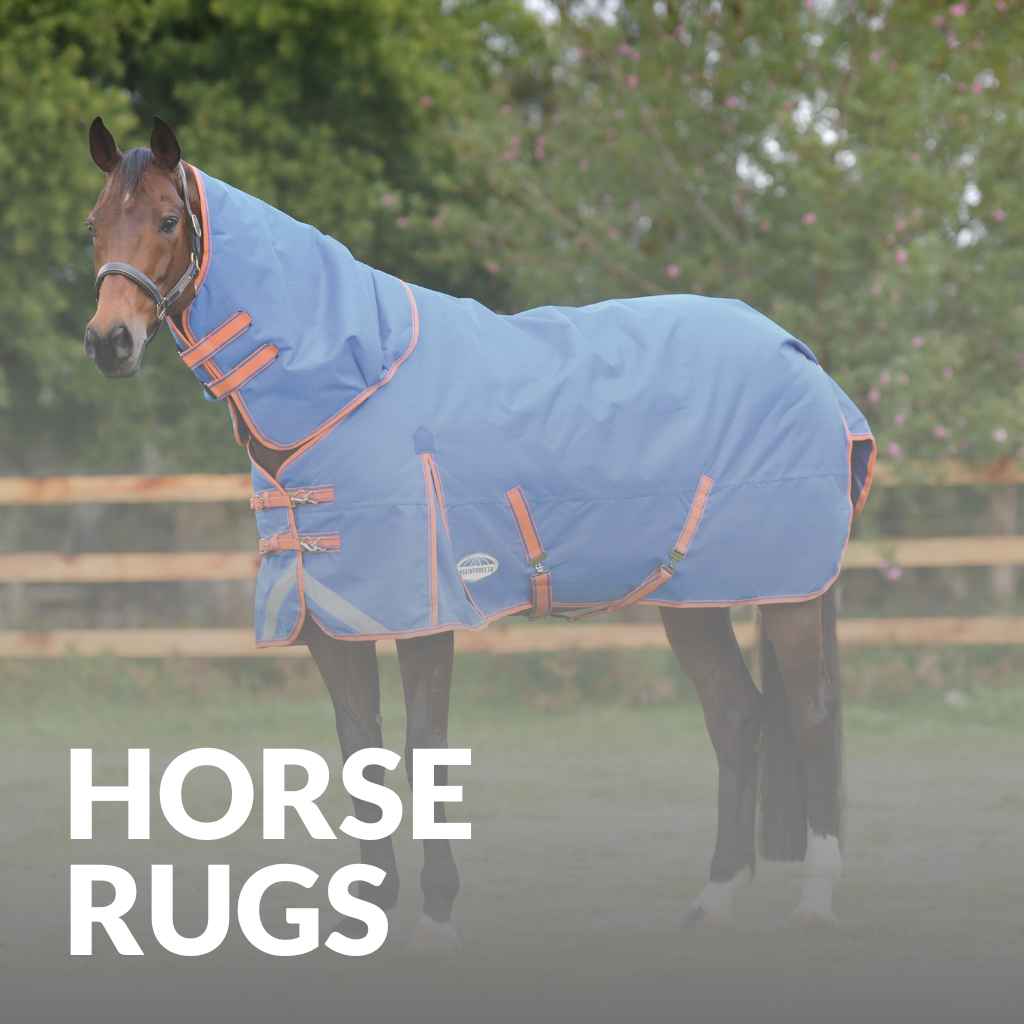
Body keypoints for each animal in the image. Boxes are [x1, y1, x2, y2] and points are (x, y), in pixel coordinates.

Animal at [83, 116, 875, 946]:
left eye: (167, 220)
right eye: (95, 225)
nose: (109, 341)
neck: (350, 386)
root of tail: (805, 362)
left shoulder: (427, 613)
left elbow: (424, 753)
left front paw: (437, 916)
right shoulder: (332, 619)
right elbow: (360, 757)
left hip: (788, 593)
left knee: (813, 717)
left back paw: (814, 900)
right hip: (691, 599)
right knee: (737, 718)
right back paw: (712, 901)